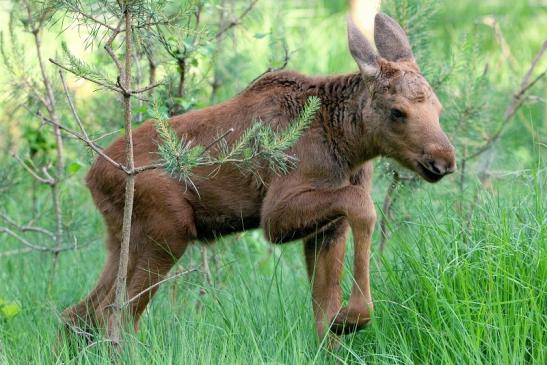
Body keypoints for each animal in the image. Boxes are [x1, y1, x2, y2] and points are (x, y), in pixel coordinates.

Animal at [64, 12, 456, 340]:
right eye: (397, 111)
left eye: (438, 108)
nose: (444, 160)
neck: (349, 147)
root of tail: (92, 176)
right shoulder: (275, 215)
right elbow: (363, 206)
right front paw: (353, 317)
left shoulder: (328, 228)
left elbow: (323, 314)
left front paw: (344, 320)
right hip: (166, 228)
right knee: (117, 315)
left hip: (123, 236)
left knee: (80, 312)